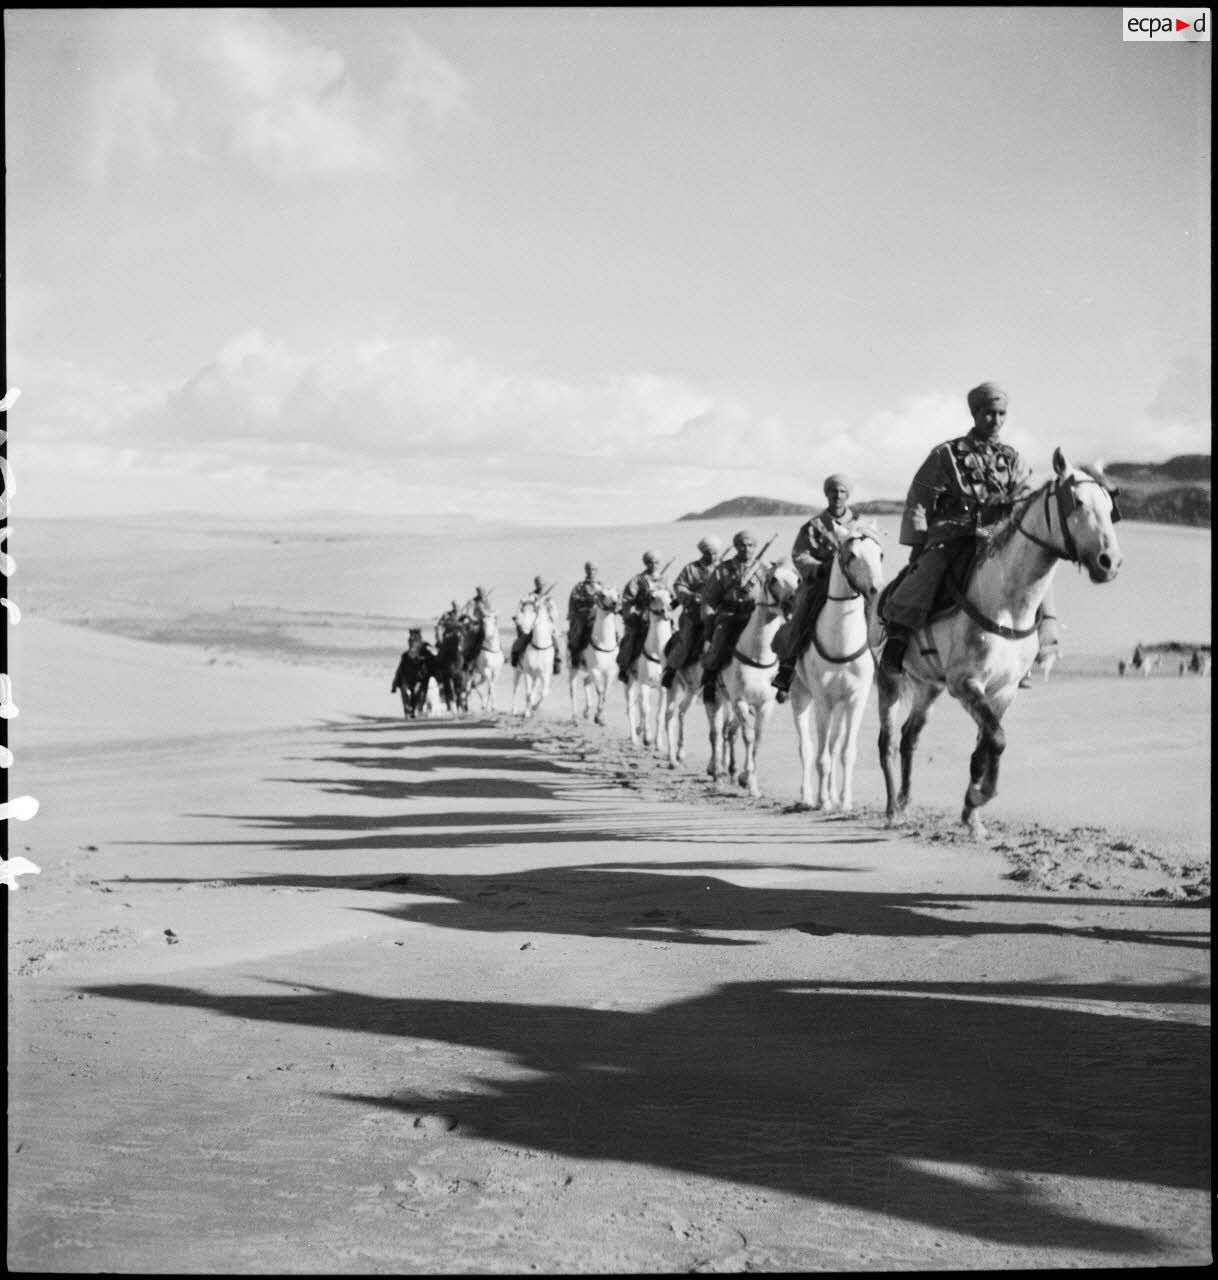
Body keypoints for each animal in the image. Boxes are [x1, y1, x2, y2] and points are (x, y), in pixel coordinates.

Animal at [565, 586, 619, 721]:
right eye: (602, 594)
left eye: (617, 595)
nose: (614, 603)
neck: (604, 644)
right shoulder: (595, 670)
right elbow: (600, 690)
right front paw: (598, 716)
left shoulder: (611, 671)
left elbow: (606, 692)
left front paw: (600, 717)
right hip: (573, 667)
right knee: (573, 690)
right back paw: (575, 718)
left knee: (585, 681)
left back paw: (587, 712)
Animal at [626, 586, 675, 752]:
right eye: (652, 597)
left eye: (670, 596)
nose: (666, 610)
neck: (658, 653)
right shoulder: (644, 683)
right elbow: (645, 709)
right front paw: (647, 739)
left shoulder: (664, 688)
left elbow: (659, 715)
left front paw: (658, 744)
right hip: (631, 680)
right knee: (632, 708)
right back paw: (635, 739)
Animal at [706, 563, 798, 793]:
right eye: (773, 579)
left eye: (798, 579)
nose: (792, 601)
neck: (757, 655)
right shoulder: (740, 700)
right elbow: (748, 737)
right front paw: (749, 781)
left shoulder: (764, 704)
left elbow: (757, 739)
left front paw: (750, 781)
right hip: (717, 698)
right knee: (716, 733)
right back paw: (718, 774)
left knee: (729, 732)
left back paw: (731, 772)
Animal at [788, 527, 885, 808]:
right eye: (851, 555)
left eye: (880, 554)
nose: (876, 589)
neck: (842, 640)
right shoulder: (822, 700)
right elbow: (821, 756)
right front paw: (823, 801)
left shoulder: (856, 699)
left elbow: (845, 752)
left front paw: (844, 801)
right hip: (800, 696)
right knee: (807, 748)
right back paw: (808, 797)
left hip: (840, 707)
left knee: (833, 744)